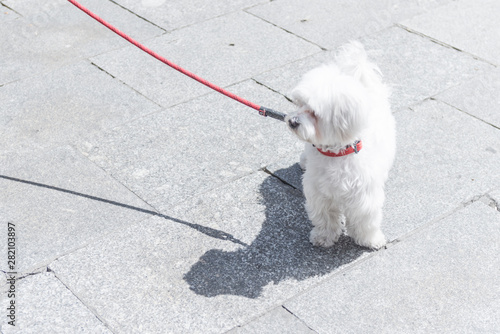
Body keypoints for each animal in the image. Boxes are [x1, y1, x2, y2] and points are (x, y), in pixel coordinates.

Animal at [286, 41, 394, 249]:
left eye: (314, 113)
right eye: (300, 104)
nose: (292, 121)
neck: (336, 154)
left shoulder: (363, 197)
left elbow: (364, 220)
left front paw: (371, 240)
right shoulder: (320, 193)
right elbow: (325, 218)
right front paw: (323, 237)